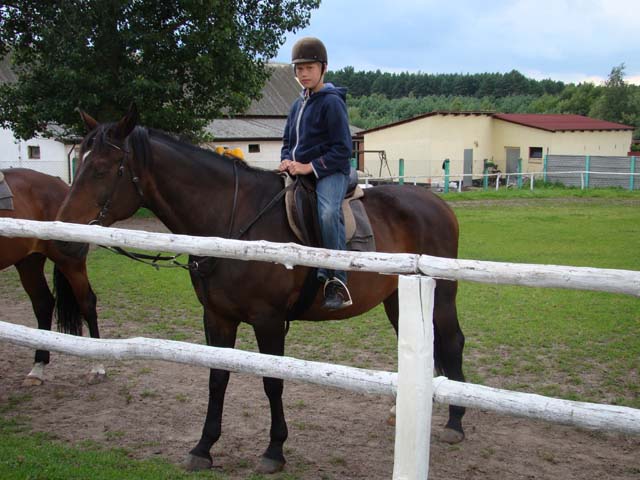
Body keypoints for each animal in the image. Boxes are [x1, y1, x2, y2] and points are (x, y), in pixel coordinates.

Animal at [0, 168, 104, 385]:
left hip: (69, 261)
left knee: (87, 302)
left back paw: (97, 365)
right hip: (28, 261)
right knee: (43, 303)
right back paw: (37, 368)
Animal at [55, 106, 466, 473]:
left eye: (102, 168)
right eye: (79, 162)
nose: (62, 233)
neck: (233, 222)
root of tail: (437, 202)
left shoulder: (268, 320)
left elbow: (272, 381)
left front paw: (274, 451)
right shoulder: (217, 317)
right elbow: (217, 377)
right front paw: (203, 447)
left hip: (441, 296)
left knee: (453, 342)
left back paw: (455, 422)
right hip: (398, 300)